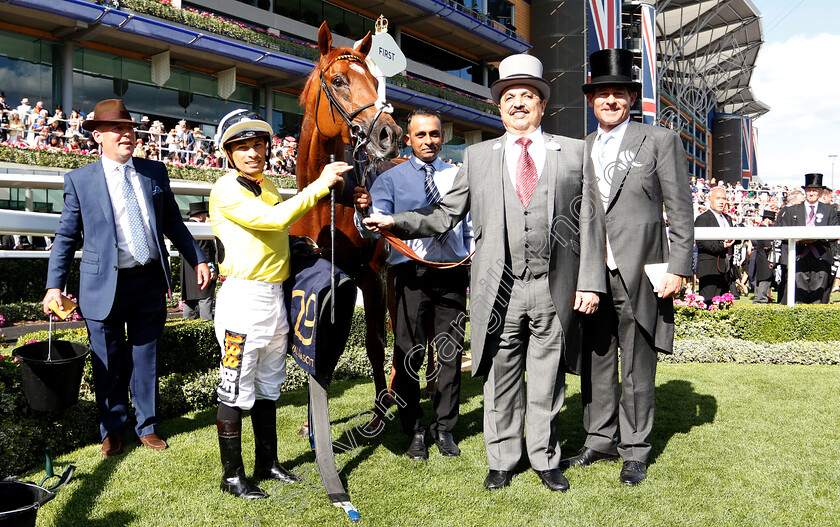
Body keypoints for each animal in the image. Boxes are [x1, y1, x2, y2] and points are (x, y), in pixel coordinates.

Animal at [290, 22, 402, 420]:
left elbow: (374, 341)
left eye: (372, 78)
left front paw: (381, 407)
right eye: (338, 80)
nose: (390, 134)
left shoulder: (371, 274)